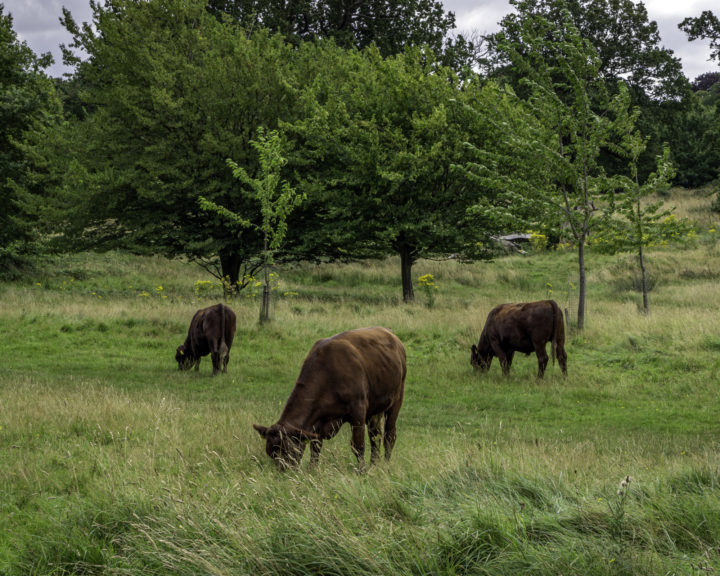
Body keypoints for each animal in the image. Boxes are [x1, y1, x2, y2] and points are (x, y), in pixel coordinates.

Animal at [253, 326, 406, 471]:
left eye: (288, 451)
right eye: (271, 453)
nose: (283, 472)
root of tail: (391, 334)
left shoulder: (358, 411)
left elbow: (358, 445)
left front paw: (361, 471)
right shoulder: (317, 422)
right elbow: (315, 447)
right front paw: (312, 469)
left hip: (396, 400)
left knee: (389, 436)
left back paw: (385, 465)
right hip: (375, 409)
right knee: (375, 436)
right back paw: (374, 465)